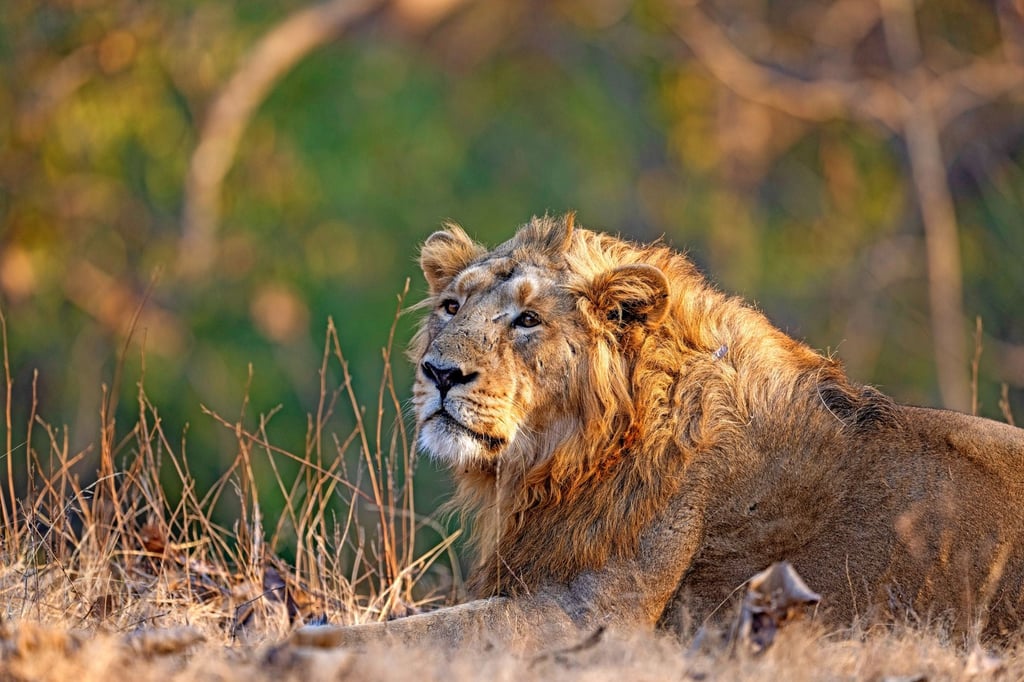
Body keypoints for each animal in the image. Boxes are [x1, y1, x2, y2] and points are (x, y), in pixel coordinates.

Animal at [295, 214, 1024, 651]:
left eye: (528, 320)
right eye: (450, 307)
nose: (440, 373)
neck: (563, 460)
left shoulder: (594, 619)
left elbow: (415, 636)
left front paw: (302, 643)